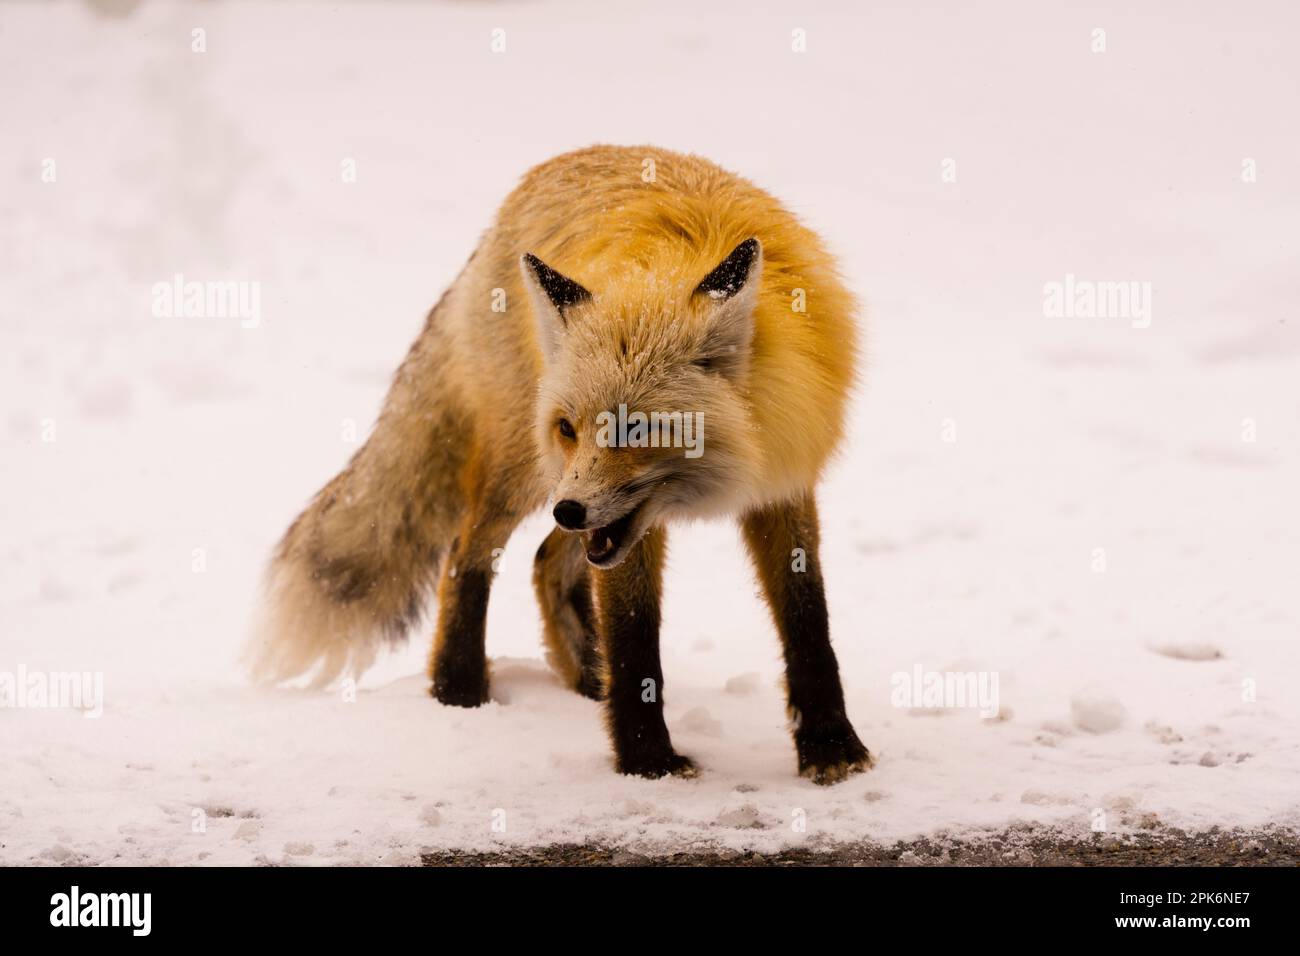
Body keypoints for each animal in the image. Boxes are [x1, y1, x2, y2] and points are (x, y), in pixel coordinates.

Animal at [244, 143, 873, 785]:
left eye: (636, 428)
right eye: (570, 427)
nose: (568, 512)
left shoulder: (783, 482)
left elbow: (807, 620)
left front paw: (831, 747)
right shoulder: (617, 525)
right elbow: (634, 634)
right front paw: (648, 762)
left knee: (546, 561)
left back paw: (586, 676)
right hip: (526, 471)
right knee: (465, 553)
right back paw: (459, 688)